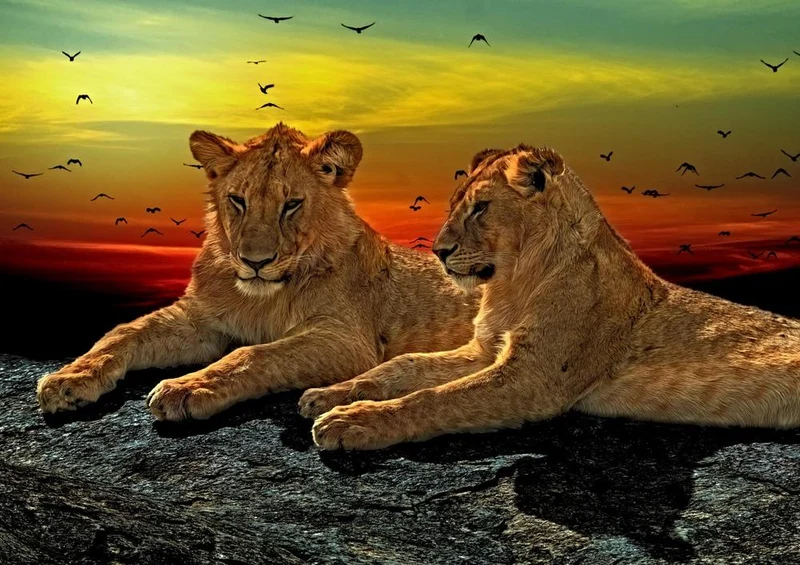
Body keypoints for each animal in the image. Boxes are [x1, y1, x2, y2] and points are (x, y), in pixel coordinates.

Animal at [36, 123, 478, 421]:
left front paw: (188, 386)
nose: (255, 262)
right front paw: (67, 379)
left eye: (292, 204)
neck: (262, 298)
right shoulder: (200, 319)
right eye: (238, 200)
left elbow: (254, 354)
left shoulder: (347, 339)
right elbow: (124, 332)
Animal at [301, 143, 800, 450]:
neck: (513, 283)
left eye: (481, 207)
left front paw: (353, 421)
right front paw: (330, 394)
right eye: (454, 204)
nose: (439, 252)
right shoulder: (485, 351)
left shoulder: (533, 379)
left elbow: (435, 399)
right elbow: (403, 366)